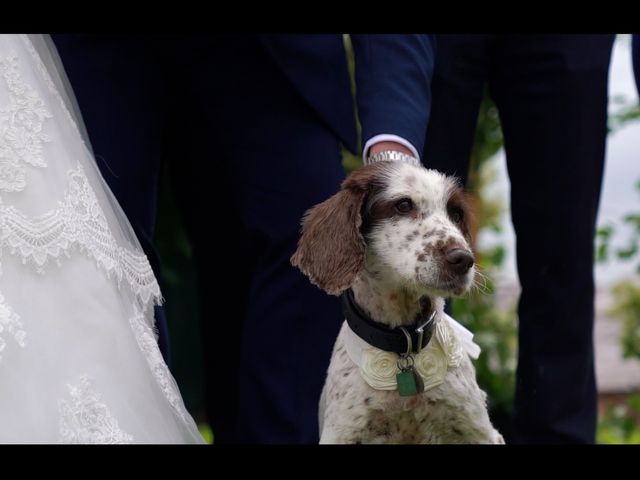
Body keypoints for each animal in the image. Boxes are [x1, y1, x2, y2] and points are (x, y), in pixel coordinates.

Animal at [290, 159, 504, 444]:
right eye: (403, 205)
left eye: (456, 214)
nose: (463, 259)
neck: (404, 346)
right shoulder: (343, 432)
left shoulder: (479, 432)